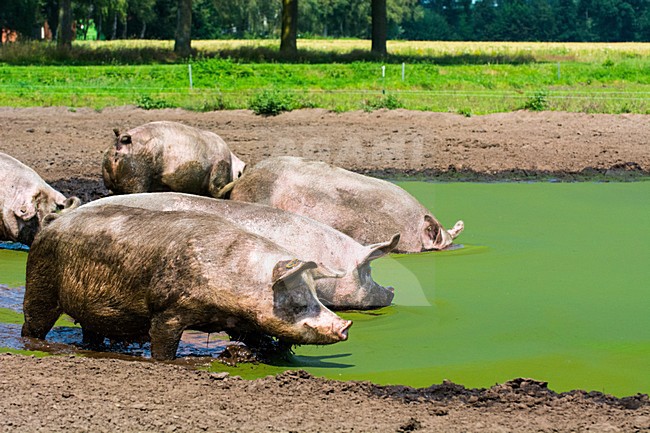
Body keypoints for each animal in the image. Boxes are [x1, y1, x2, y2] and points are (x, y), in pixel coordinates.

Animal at [21, 205, 352, 360]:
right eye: (299, 303)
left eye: (316, 296)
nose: (346, 325)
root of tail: (51, 223)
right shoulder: (167, 309)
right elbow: (163, 341)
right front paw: (165, 360)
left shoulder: (241, 321)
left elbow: (256, 338)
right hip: (40, 282)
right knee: (34, 322)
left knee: (91, 332)